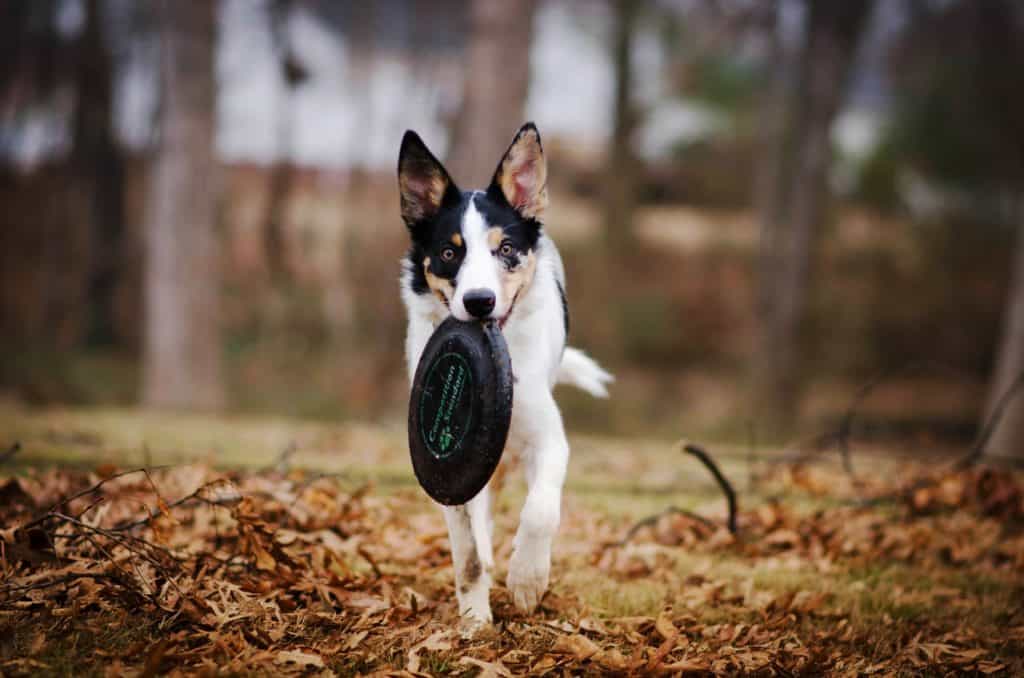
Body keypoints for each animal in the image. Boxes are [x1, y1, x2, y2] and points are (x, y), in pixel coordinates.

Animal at [395, 124, 610, 630]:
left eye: (506, 250)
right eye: (449, 252)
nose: (478, 302)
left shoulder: (548, 438)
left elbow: (540, 511)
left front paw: (528, 579)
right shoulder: (449, 476)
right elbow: (468, 552)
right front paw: (475, 618)